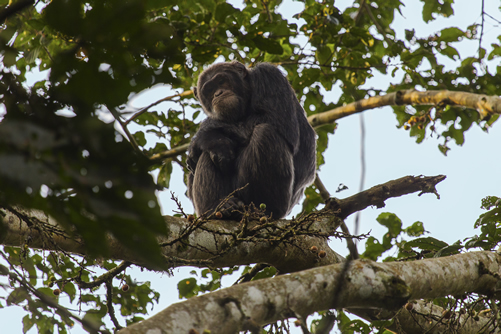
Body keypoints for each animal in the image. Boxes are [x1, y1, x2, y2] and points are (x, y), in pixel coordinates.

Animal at [186, 60, 314, 219]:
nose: (218, 93)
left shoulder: (269, 76)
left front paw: (204, 132)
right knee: (208, 154)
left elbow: (276, 120)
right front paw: (213, 141)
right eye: (209, 89)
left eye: (221, 81)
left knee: (265, 132)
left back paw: (263, 209)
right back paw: (217, 207)